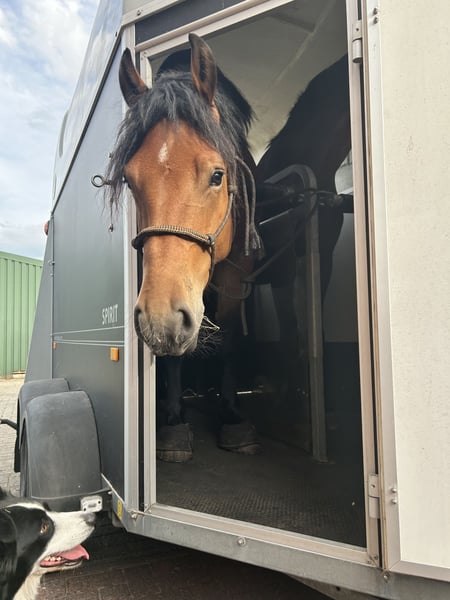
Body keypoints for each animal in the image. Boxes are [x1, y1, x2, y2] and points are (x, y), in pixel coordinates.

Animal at [104, 34, 261, 461]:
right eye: (130, 180)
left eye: (218, 175)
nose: (161, 319)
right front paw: (174, 420)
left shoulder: (236, 280)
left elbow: (230, 341)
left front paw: (232, 416)